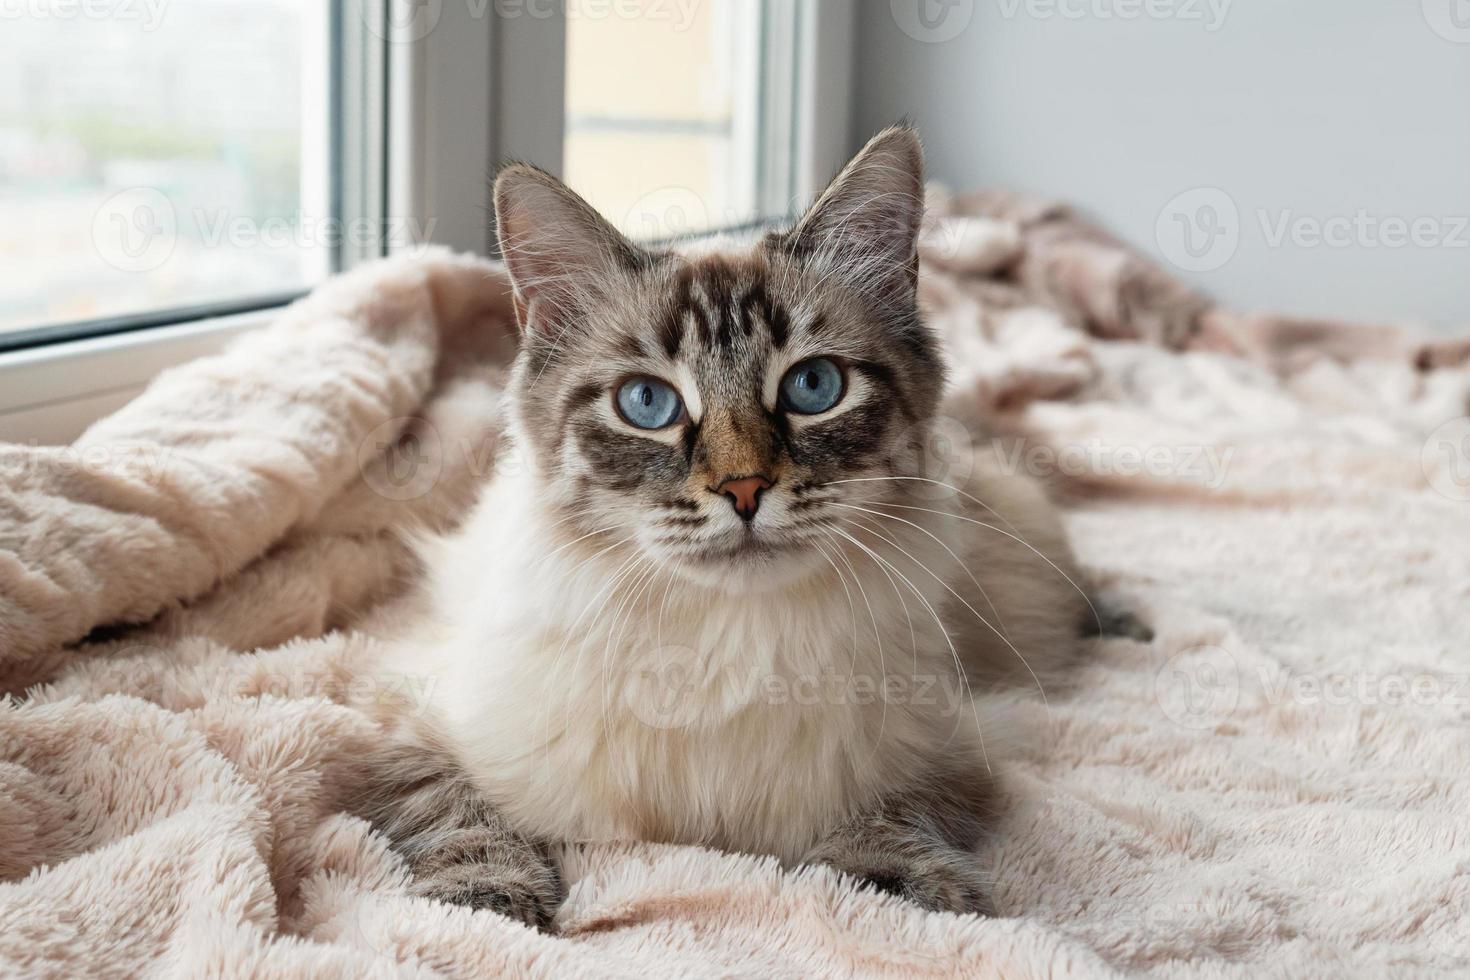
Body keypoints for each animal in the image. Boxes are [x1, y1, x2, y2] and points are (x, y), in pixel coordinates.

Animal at [355, 124, 1093, 928]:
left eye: (813, 387)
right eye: (647, 403)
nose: (744, 489)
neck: (725, 640)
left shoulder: (950, 744)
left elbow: (892, 814)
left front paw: (898, 889)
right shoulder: (411, 720)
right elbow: (464, 816)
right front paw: (486, 904)